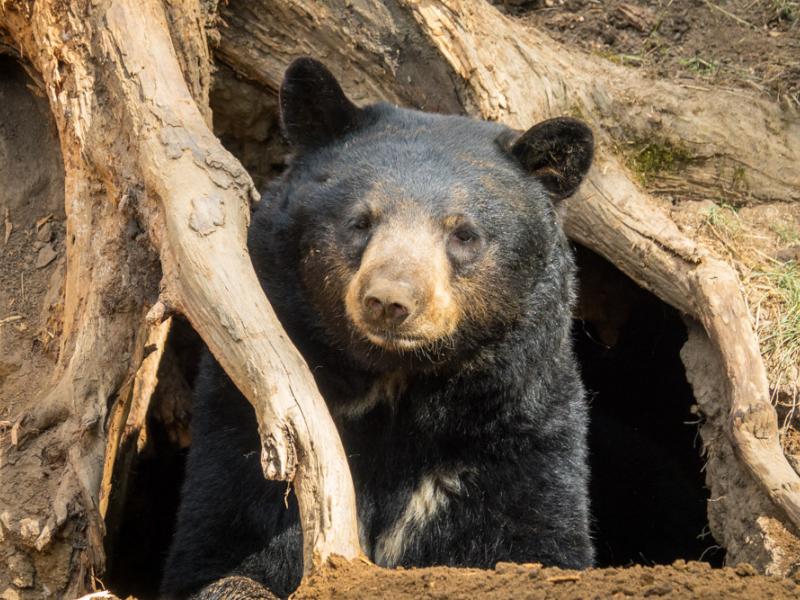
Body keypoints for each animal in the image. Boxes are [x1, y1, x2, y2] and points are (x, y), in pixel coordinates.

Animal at [161, 57, 592, 600]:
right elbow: (221, 543)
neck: (396, 389)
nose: (389, 301)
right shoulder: (238, 432)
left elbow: (535, 537)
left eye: (464, 234)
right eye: (361, 221)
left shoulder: (517, 439)